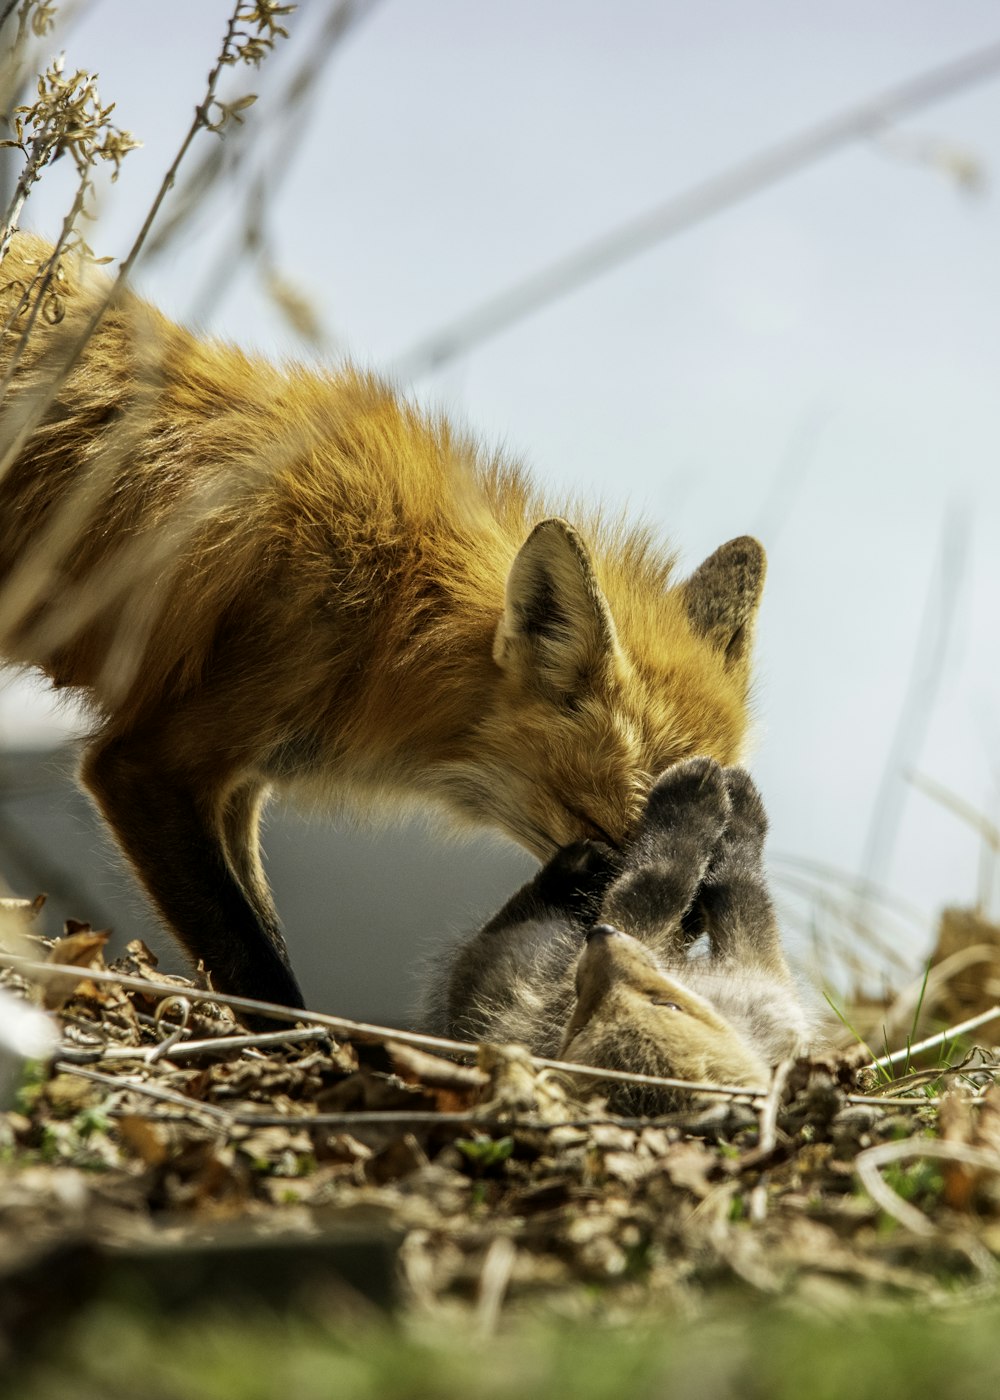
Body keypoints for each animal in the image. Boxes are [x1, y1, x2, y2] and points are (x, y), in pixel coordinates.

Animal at [0, 235, 761, 1013]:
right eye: (613, 832)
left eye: (722, 833)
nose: (689, 933)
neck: (390, 611)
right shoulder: (147, 765)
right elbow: (255, 962)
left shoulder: (239, 782)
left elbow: (263, 926)